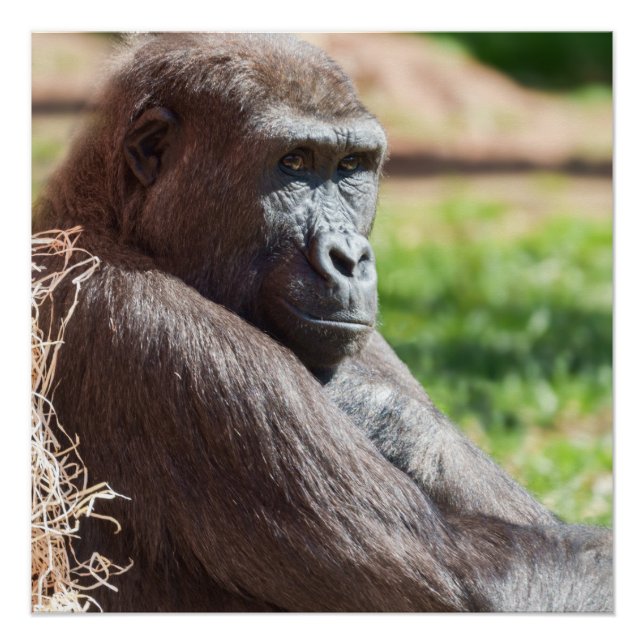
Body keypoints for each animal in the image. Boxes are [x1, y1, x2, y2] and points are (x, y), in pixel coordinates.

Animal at [32, 33, 612, 612]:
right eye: (293, 162)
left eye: (350, 165)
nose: (350, 258)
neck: (113, 215)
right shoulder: (160, 334)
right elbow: (477, 580)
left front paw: (384, 415)